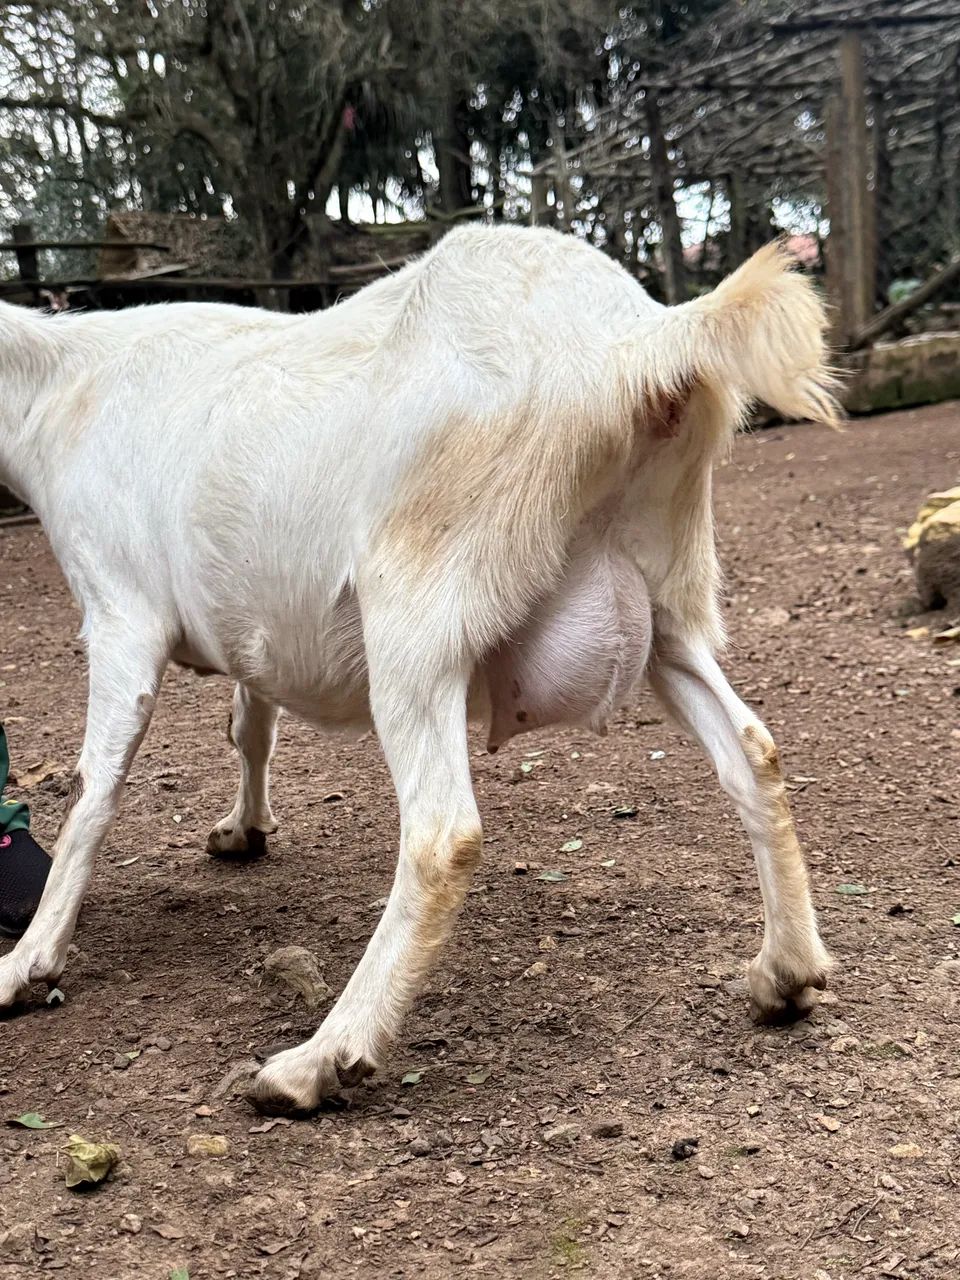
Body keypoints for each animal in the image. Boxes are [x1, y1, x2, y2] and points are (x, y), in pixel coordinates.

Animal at [0, 226, 838, 1114]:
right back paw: (786, 974)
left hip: (417, 612)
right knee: (754, 751)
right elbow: (249, 723)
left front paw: (27, 963)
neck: (56, 385)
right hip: (664, 611)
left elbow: (96, 785)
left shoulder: (120, 609)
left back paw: (318, 1060)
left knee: (442, 835)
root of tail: (635, 341)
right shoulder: (248, 620)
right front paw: (243, 830)